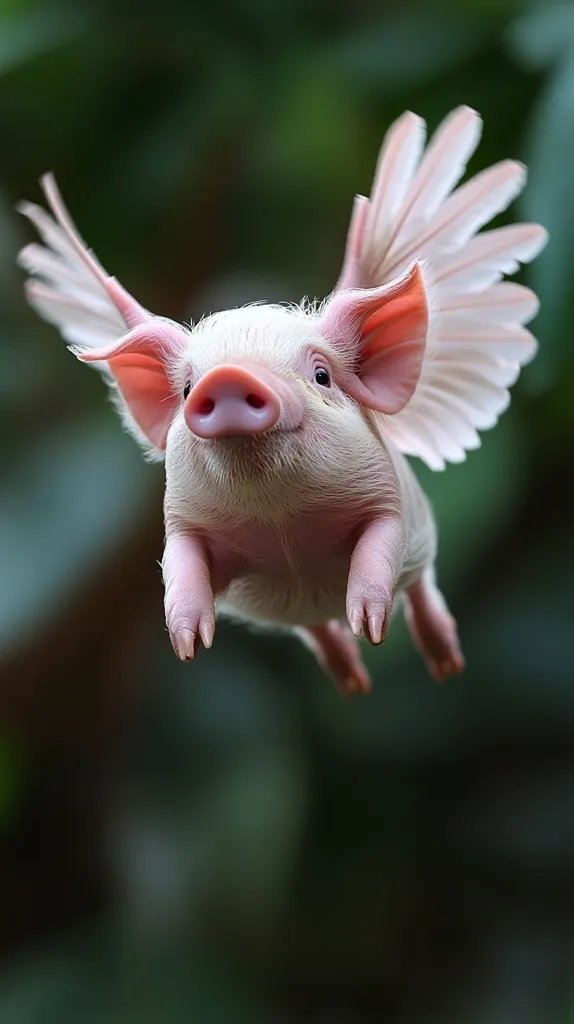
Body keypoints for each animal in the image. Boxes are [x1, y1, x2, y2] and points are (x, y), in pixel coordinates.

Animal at [17, 106, 548, 697]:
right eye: (186, 388)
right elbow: (180, 565)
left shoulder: (387, 497)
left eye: (321, 375)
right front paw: (189, 646)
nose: (226, 378)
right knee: (316, 630)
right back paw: (352, 682)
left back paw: (442, 665)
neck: (279, 517)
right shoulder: (182, 518)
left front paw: (369, 625)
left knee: (420, 587)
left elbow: (380, 544)